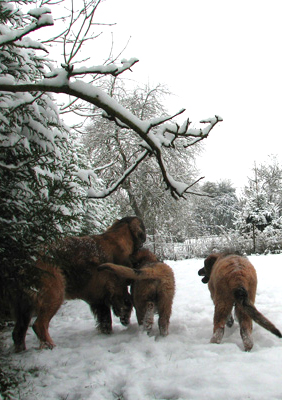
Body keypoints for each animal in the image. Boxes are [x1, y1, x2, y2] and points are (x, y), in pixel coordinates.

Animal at [8, 217, 145, 352]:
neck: (119, 236)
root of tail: (23, 260)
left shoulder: (98, 298)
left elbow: (106, 318)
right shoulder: (114, 287)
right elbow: (122, 304)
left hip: (24, 305)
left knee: (17, 332)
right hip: (54, 293)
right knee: (39, 325)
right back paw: (51, 346)